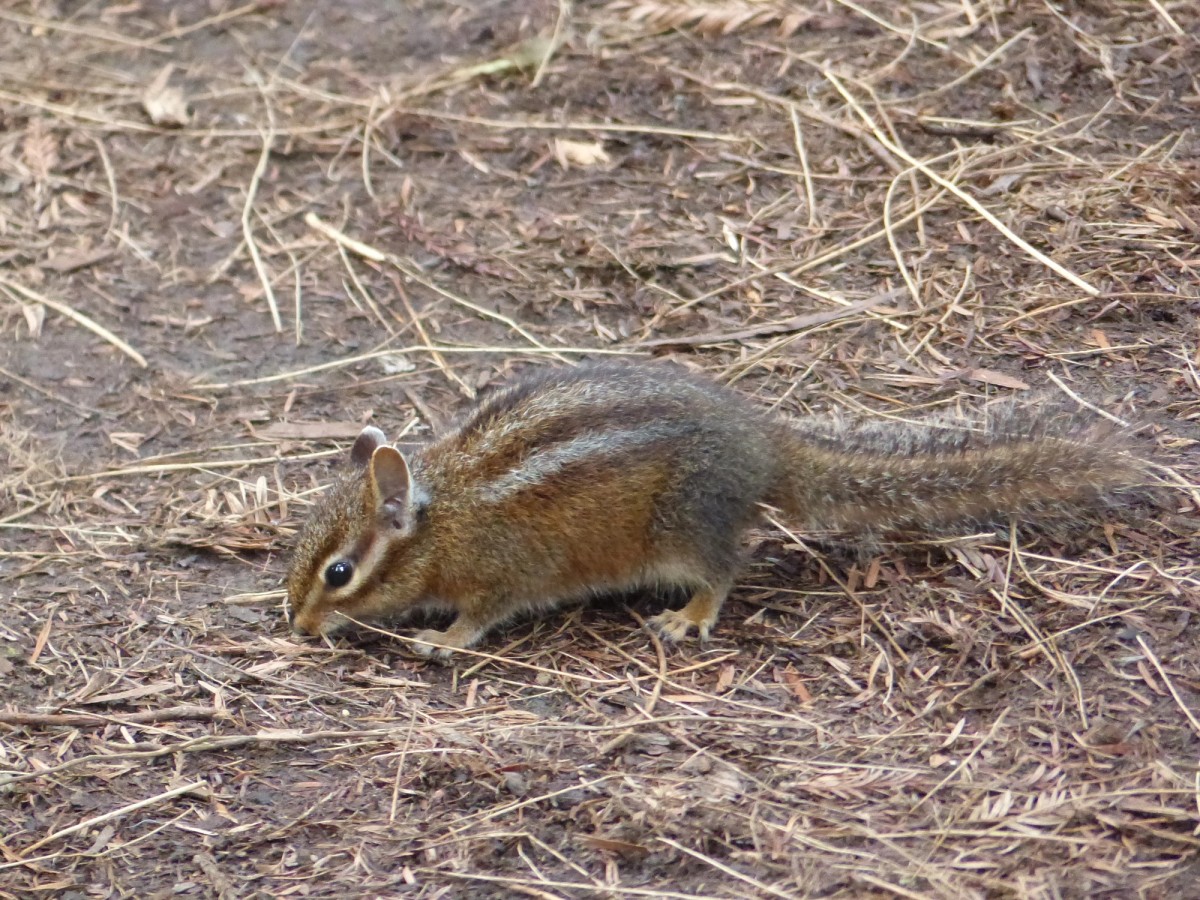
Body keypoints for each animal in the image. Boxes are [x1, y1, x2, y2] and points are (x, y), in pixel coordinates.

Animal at [285, 361, 1147, 656]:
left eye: (339, 573)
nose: (296, 624)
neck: (447, 517)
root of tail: (764, 443)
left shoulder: (500, 574)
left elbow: (481, 616)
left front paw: (444, 639)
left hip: (681, 528)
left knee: (729, 565)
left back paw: (692, 616)